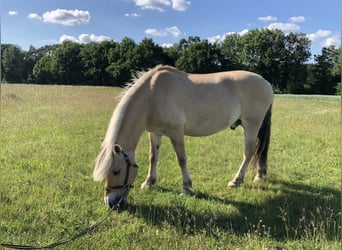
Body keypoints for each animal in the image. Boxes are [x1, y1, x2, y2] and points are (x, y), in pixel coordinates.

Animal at [93, 65, 272, 209]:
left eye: (116, 171)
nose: (110, 203)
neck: (152, 95)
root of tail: (266, 82)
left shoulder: (176, 131)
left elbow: (181, 159)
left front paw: (186, 187)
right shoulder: (155, 133)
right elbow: (153, 157)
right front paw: (149, 182)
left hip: (251, 125)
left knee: (248, 153)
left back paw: (236, 181)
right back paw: (260, 174)